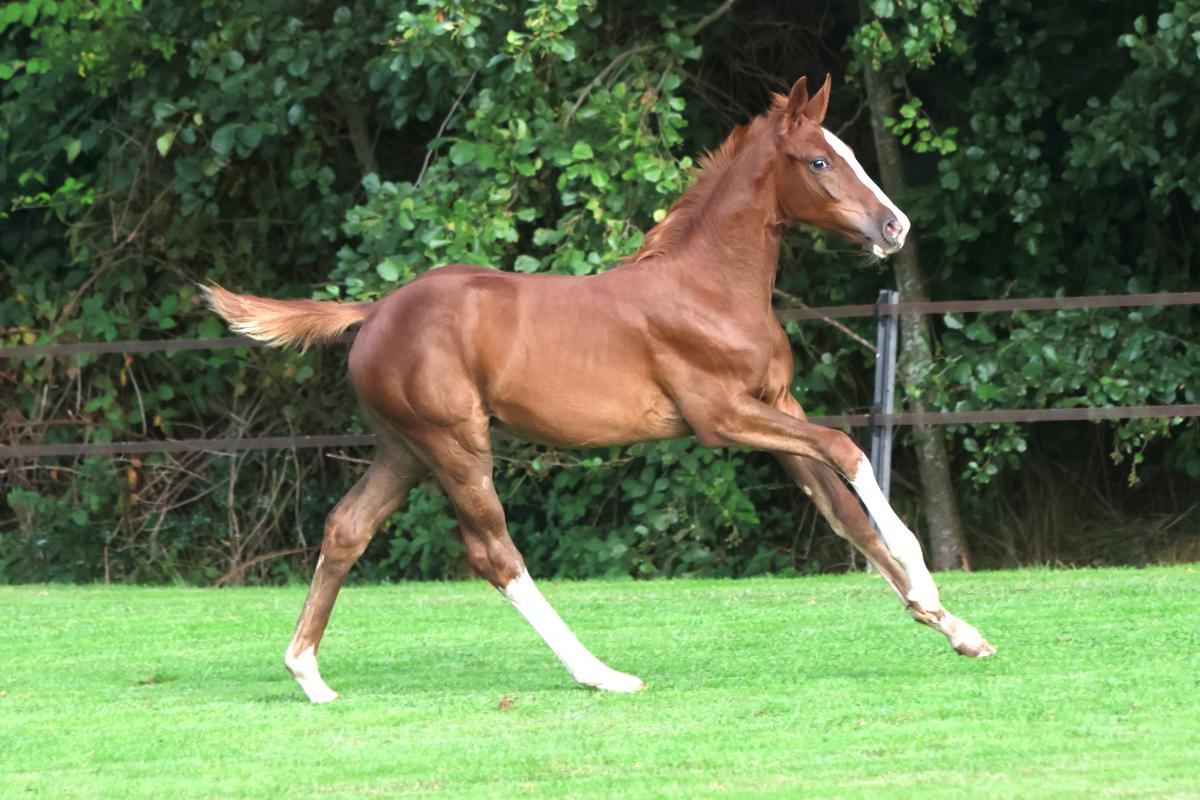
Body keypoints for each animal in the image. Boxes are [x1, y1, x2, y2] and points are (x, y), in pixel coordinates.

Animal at [204, 75, 995, 704]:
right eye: (820, 159)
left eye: (853, 153)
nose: (895, 226)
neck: (711, 287)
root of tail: (374, 312)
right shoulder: (722, 418)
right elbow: (847, 450)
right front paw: (928, 585)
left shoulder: (775, 409)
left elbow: (843, 509)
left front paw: (956, 627)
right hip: (455, 444)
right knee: (494, 554)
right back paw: (601, 673)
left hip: (403, 450)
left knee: (347, 529)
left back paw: (309, 676)